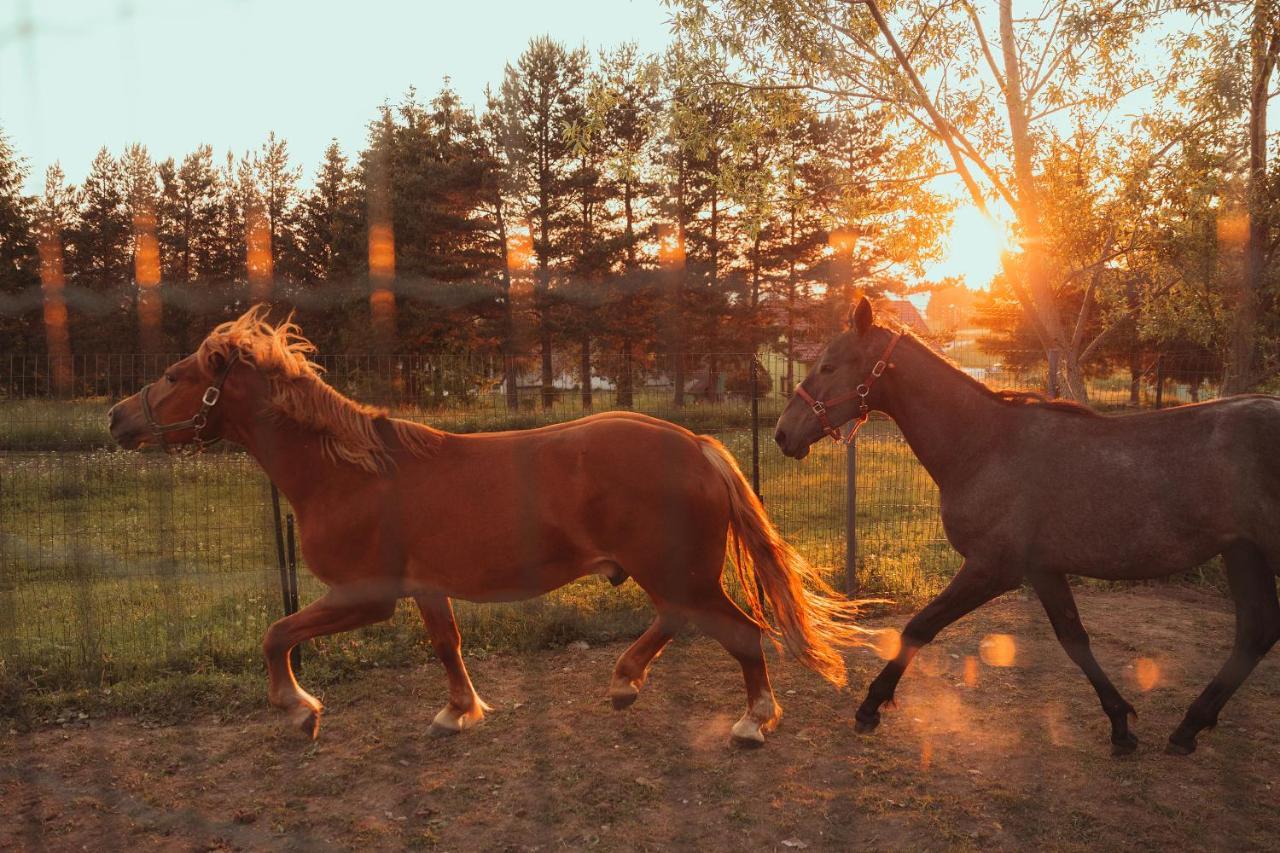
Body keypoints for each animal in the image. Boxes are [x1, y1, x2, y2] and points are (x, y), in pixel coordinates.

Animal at [110, 306, 870, 742]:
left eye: (175, 375)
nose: (117, 418)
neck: (350, 472)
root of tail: (698, 445)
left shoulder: (364, 595)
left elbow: (276, 634)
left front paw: (298, 709)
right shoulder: (425, 588)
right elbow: (448, 647)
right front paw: (458, 710)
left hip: (680, 574)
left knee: (741, 632)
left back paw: (752, 721)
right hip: (670, 576)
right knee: (680, 623)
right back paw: (624, 682)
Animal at [768, 295, 1280, 753]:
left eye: (828, 366)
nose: (783, 433)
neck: (983, 445)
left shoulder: (991, 569)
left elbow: (918, 628)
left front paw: (870, 706)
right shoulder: (1044, 570)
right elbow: (1074, 639)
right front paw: (1120, 725)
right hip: (1243, 553)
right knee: (1256, 632)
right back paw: (1187, 729)